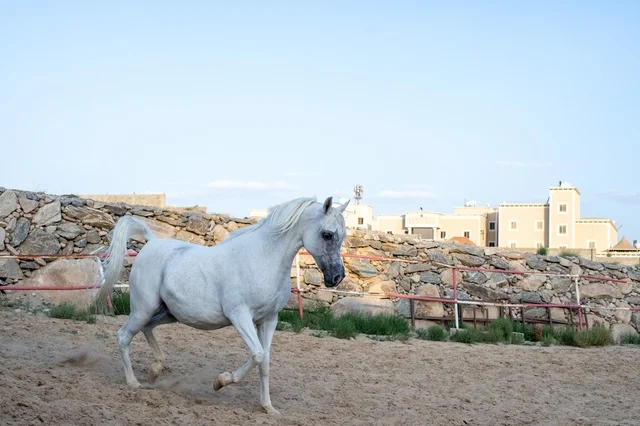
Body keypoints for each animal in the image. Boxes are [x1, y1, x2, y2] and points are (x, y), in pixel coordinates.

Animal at [95, 196, 349, 415]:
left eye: (342, 236)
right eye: (327, 235)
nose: (337, 277)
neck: (262, 259)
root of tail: (151, 242)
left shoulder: (269, 320)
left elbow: (265, 362)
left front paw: (268, 408)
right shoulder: (240, 316)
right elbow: (257, 355)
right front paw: (220, 382)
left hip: (167, 312)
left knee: (147, 329)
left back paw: (154, 371)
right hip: (143, 308)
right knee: (123, 336)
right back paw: (133, 382)